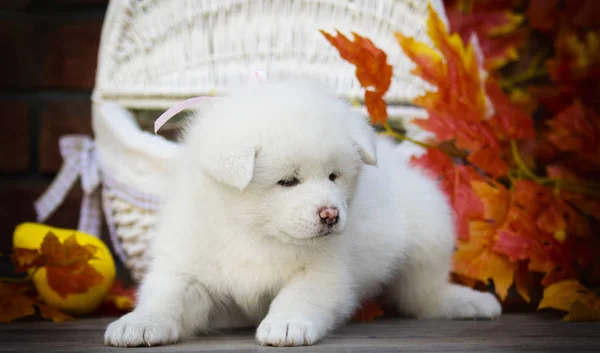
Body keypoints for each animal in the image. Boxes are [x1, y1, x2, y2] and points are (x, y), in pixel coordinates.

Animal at [104, 80, 502, 346]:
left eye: (333, 177)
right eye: (287, 181)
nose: (330, 214)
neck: (253, 232)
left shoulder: (325, 270)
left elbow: (299, 295)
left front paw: (285, 324)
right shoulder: (189, 263)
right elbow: (167, 294)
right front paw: (139, 323)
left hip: (429, 230)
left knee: (424, 292)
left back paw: (467, 300)